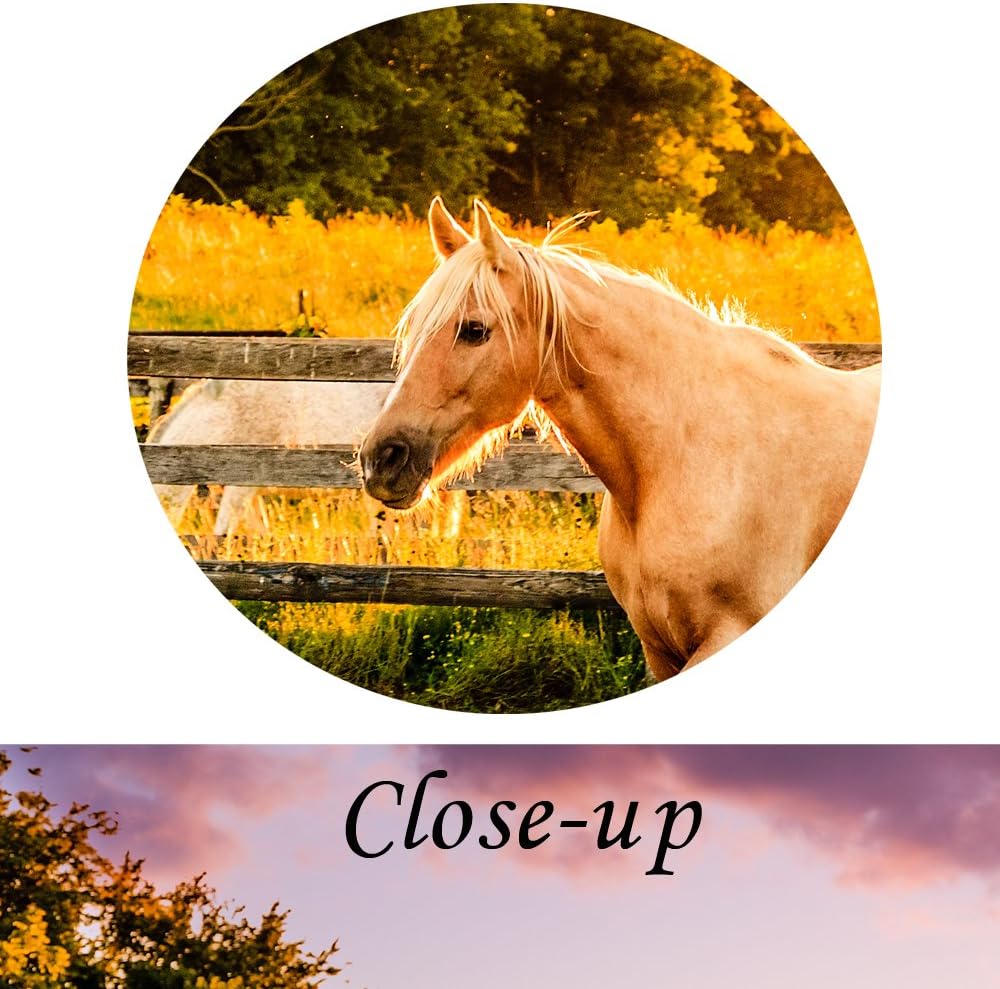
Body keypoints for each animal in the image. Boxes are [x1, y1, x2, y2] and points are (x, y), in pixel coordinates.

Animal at [359, 197, 881, 680]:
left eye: (474, 330)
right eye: (414, 329)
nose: (381, 459)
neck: (684, 454)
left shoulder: (726, 634)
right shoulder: (658, 650)